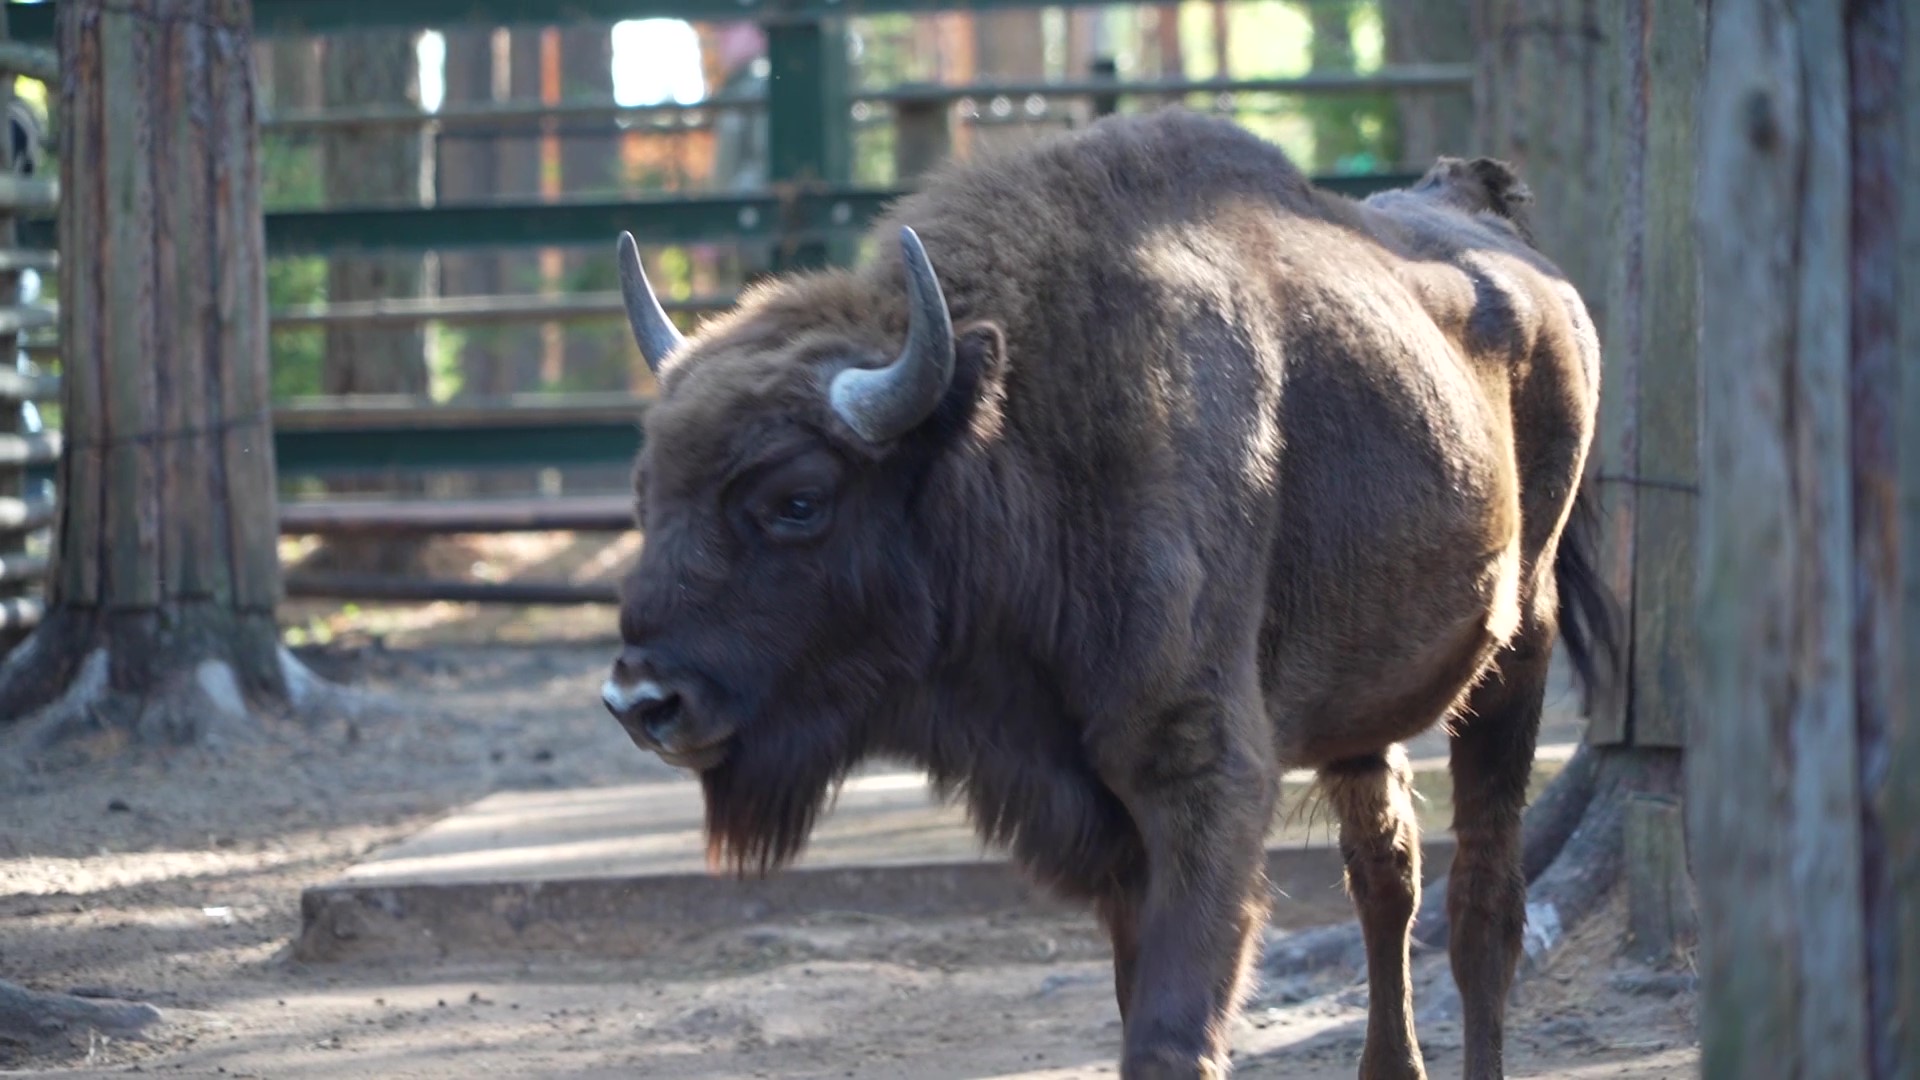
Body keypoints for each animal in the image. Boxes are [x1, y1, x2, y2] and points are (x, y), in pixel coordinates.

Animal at [606, 107, 1612, 1076]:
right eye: (645, 491)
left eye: (798, 500)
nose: (641, 701)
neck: (1025, 436)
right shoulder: (1106, 822)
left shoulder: (1202, 784)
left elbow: (1170, 1032)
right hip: (1364, 704)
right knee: (1385, 873)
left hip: (1519, 648)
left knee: (1483, 905)